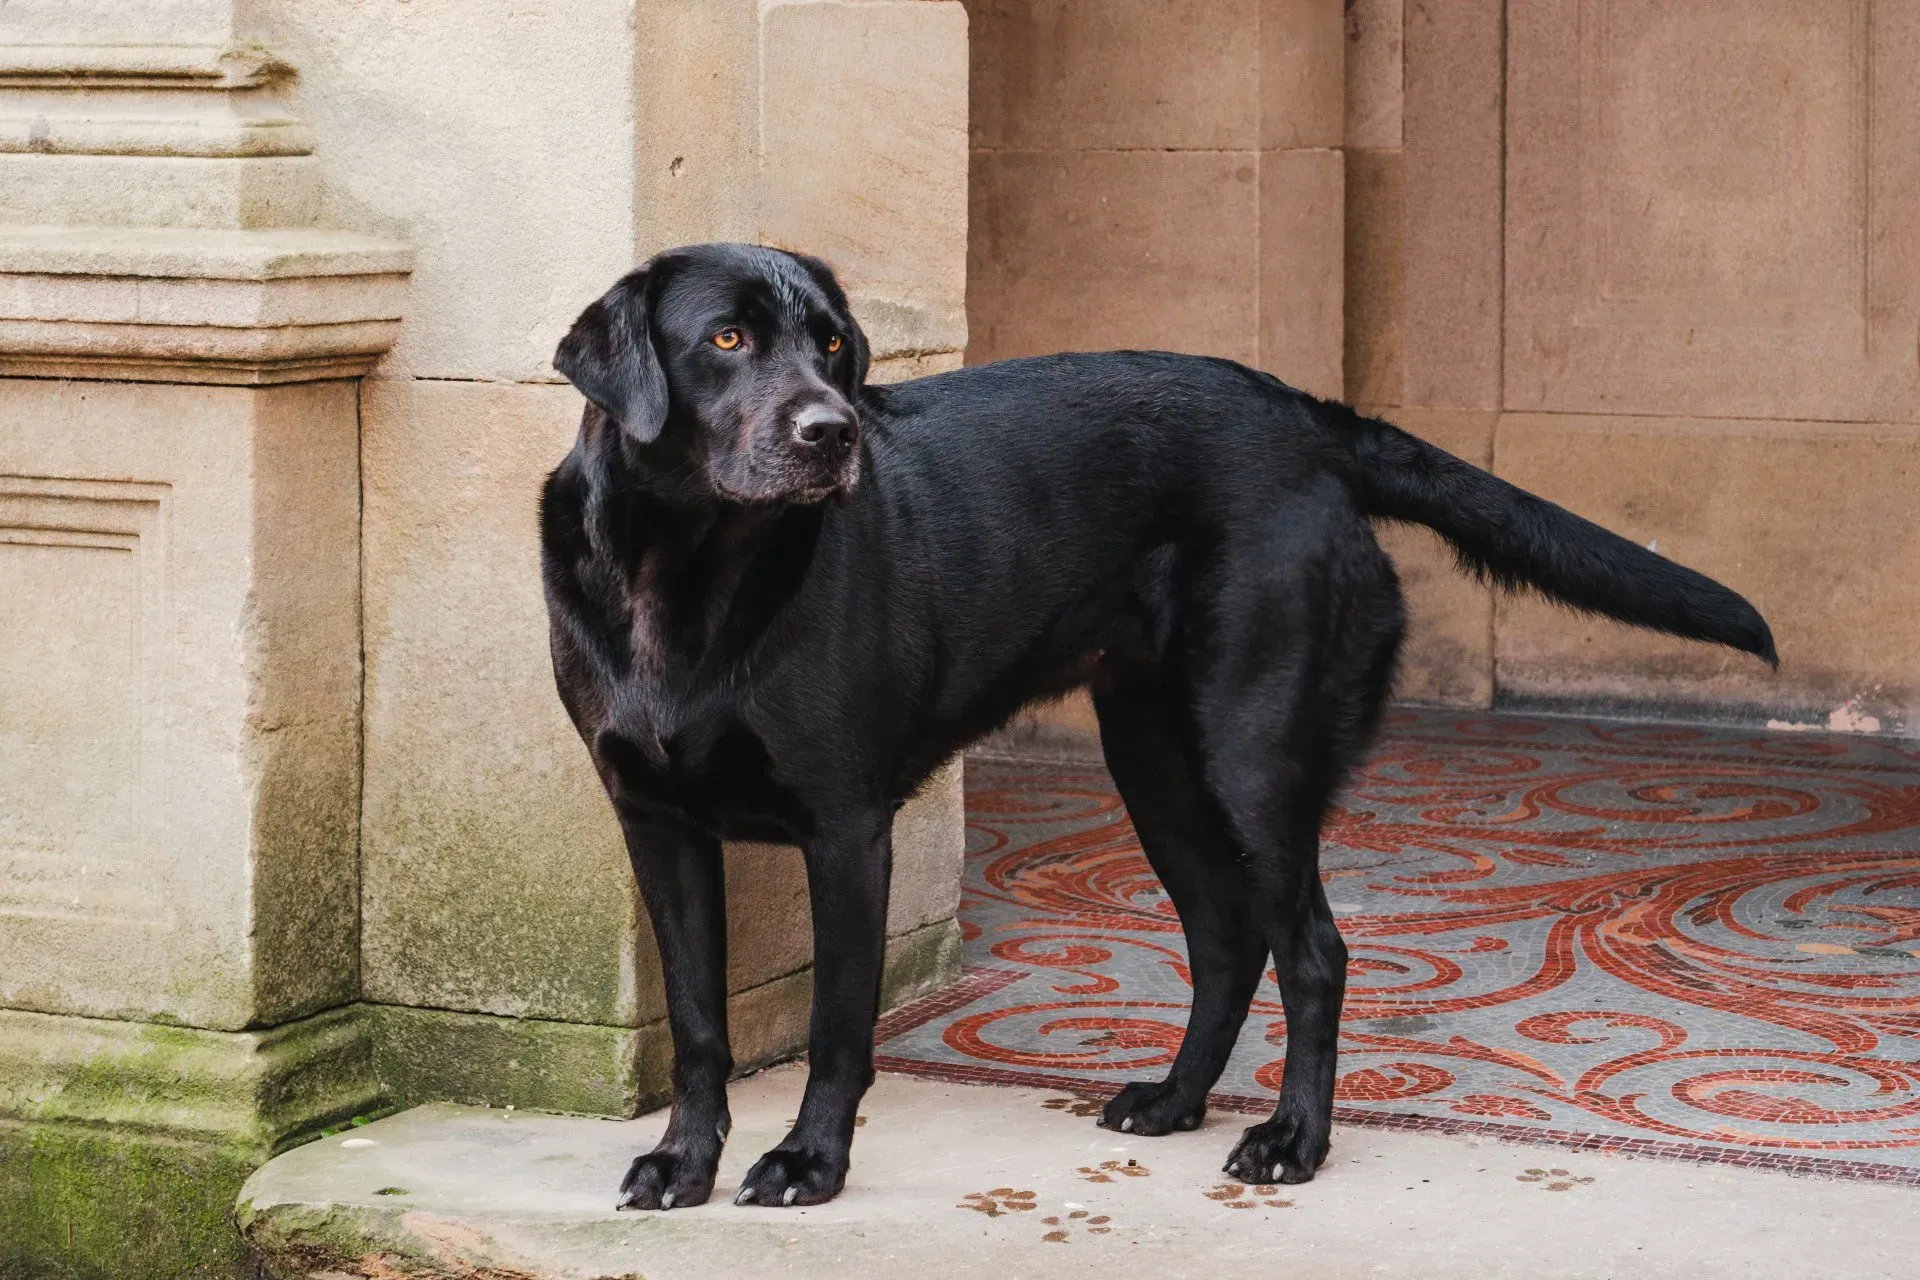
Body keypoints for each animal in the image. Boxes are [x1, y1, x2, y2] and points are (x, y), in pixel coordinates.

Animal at [537, 239, 1766, 1212]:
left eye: (833, 346)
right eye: (728, 337)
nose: (831, 432)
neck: (684, 577)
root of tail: (1309, 419)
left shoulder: (848, 826)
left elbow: (840, 1028)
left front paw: (809, 1162)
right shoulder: (653, 822)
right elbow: (698, 1024)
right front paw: (682, 1164)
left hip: (1253, 754)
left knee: (1313, 951)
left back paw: (1292, 1140)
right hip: (1155, 756)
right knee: (1226, 940)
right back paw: (1176, 1099)